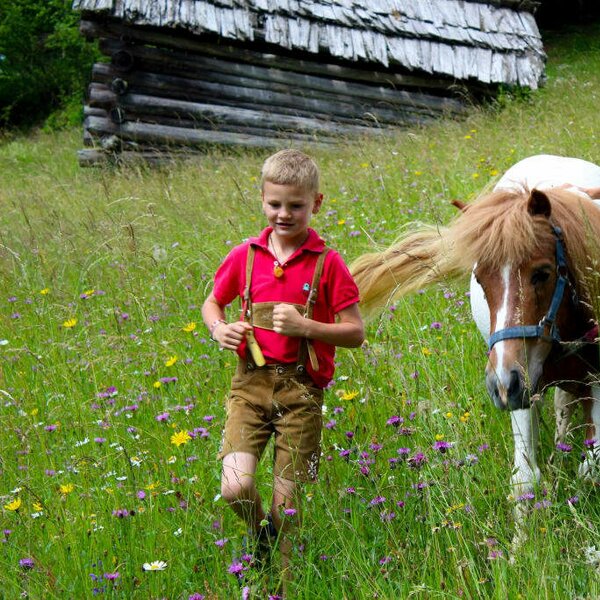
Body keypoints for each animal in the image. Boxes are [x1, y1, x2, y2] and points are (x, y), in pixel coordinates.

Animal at [350, 154, 600, 496]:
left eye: (542, 273)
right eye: (479, 280)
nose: (503, 385)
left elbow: (591, 467)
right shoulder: (523, 389)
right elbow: (524, 479)